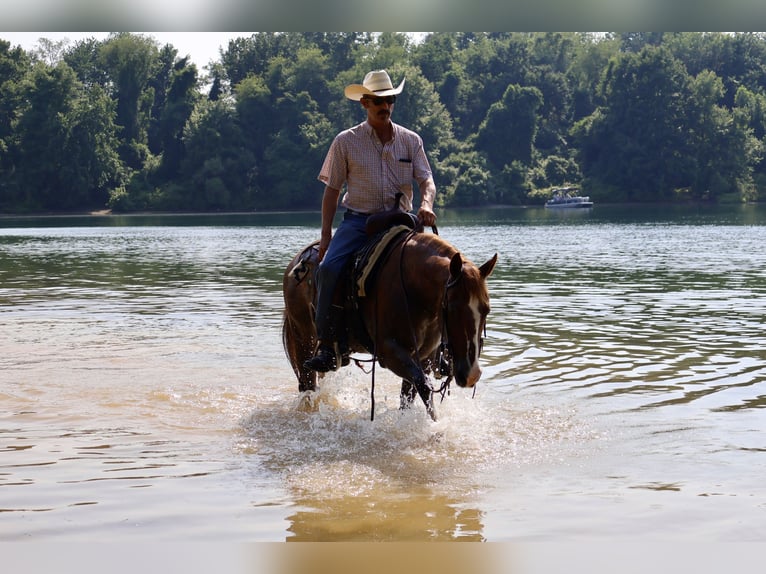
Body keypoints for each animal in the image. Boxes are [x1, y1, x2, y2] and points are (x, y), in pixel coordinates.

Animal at [282, 225, 497, 420]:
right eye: (452, 308)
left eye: (486, 309)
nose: (472, 374)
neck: (413, 288)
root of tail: (297, 260)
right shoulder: (390, 353)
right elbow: (424, 387)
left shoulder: (424, 357)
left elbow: (411, 394)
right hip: (303, 338)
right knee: (307, 385)